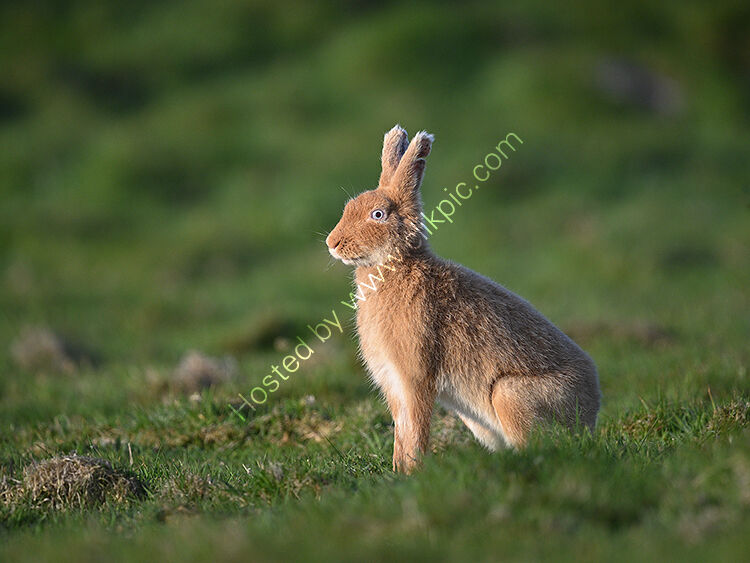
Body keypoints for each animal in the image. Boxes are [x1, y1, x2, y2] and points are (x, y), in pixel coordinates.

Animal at [326, 125, 601, 473]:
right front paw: (398, 472)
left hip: (509, 395)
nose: (332, 243)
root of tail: (591, 416)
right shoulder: (393, 382)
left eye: (378, 214)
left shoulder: (415, 376)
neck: (397, 265)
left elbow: (415, 428)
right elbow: (401, 432)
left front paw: (413, 473)